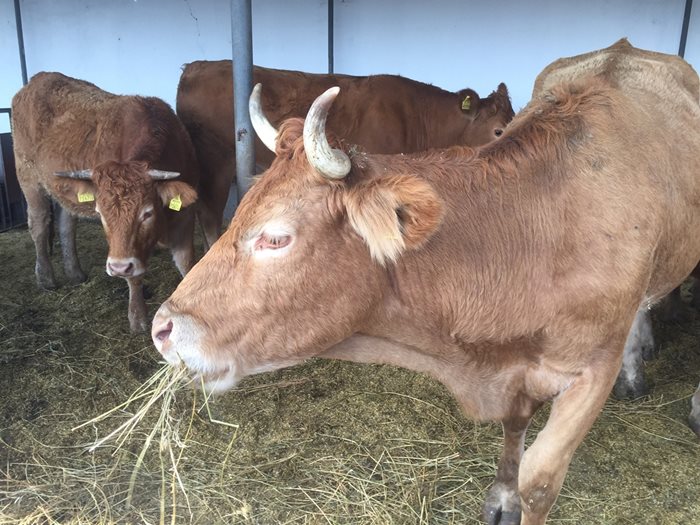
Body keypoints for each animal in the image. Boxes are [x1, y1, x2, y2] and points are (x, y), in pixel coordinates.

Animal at [10, 72, 217, 332]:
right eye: (101, 214)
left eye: (147, 213)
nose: (117, 267)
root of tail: (37, 79)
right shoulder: (127, 251)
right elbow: (135, 275)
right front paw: (137, 318)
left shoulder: (185, 216)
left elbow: (186, 263)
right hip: (28, 178)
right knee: (39, 225)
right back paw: (46, 278)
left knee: (66, 225)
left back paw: (75, 273)